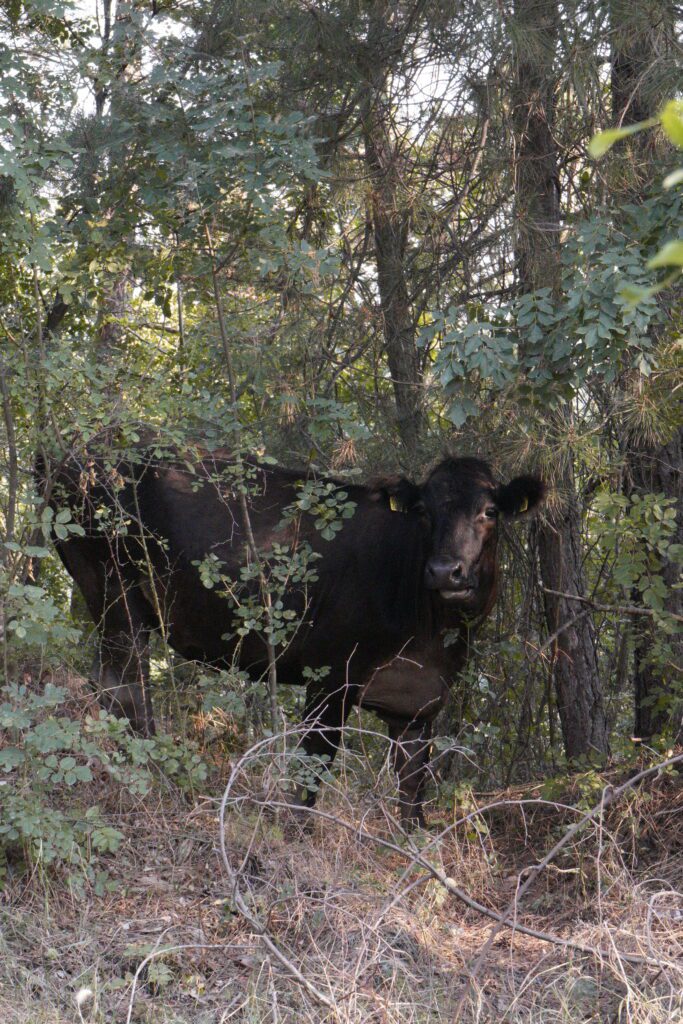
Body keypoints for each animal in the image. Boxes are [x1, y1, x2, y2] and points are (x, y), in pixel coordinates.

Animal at [45, 443, 544, 826]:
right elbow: (313, 765)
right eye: (423, 511)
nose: (444, 570)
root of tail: (66, 452)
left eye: (490, 511)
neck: (432, 635)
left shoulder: (418, 704)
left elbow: (412, 788)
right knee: (125, 687)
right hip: (113, 587)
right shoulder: (331, 675)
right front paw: (296, 830)